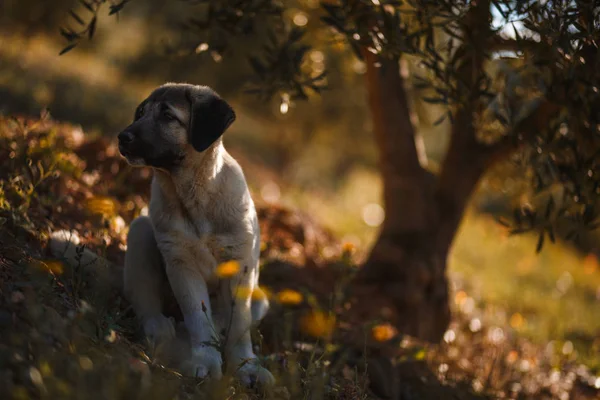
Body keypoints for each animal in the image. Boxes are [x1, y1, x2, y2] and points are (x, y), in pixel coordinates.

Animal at [49, 83, 274, 386]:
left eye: (167, 116)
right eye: (141, 113)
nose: (123, 137)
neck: (194, 195)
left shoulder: (240, 266)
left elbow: (238, 326)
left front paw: (245, 367)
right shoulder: (180, 262)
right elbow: (197, 318)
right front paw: (205, 361)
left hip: (259, 297)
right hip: (141, 231)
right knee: (144, 299)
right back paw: (160, 329)